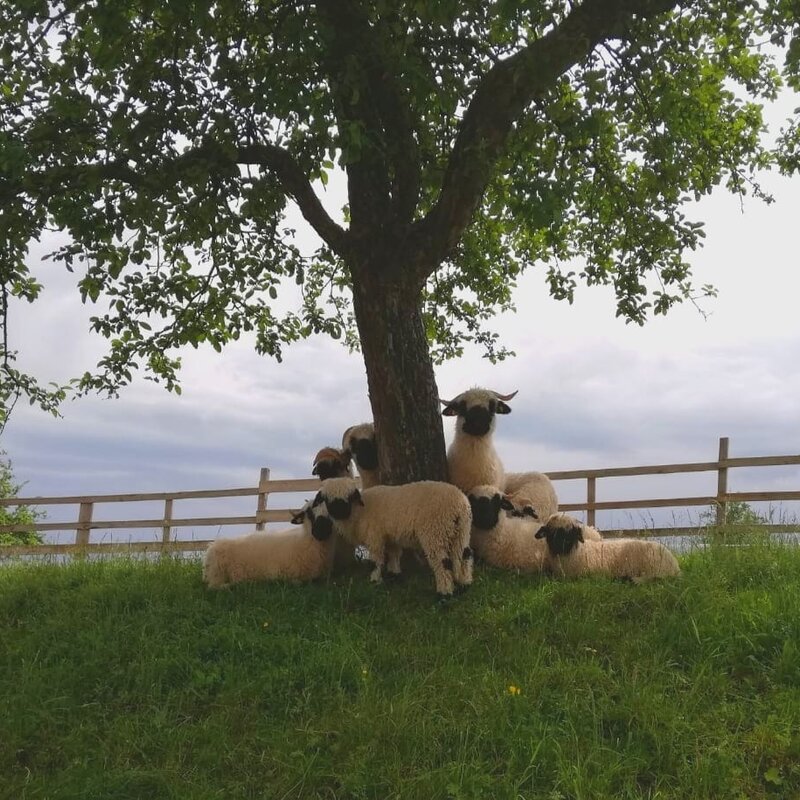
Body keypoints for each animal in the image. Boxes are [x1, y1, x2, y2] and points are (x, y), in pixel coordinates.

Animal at [202, 500, 338, 588]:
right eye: (309, 512)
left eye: (330, 512)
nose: (321, 531)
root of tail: (211, 546)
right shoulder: (286, 575)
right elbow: (297, 582)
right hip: (217, 574)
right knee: (215, 586)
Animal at [314, 477, 473, 597]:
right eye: (327, 499)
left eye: (349, 497)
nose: (339, 512)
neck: (359, 512)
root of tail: (458, 504)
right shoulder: (390, 537)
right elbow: (394, 555)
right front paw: (394, 575)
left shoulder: (375, 536)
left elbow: (376, 560)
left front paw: (375, 581)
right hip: (462, 531)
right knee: (463, 556)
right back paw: (465, 584)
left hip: (435, 532)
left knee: (442, 563)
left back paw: (444, 593)